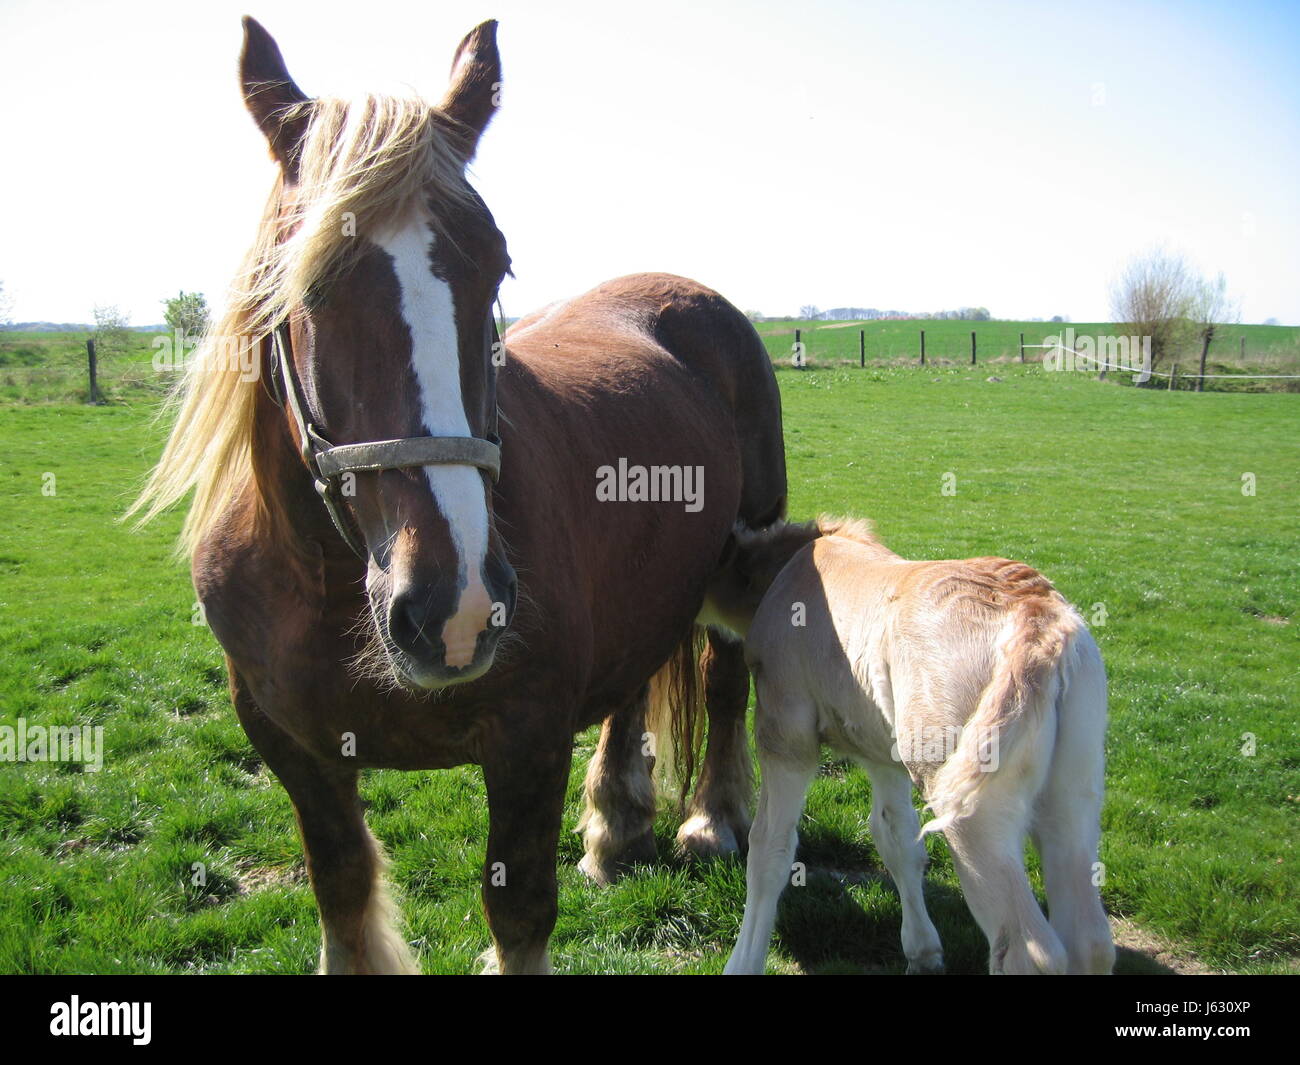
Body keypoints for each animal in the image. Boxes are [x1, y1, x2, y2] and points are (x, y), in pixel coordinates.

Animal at [130, 17, 786, 974]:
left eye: (497, 265)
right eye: (306, 280)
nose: (456, 605)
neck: (327, 582)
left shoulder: (528, 740)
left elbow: (518, 911)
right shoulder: (290, 746)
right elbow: (342, 893)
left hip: (747, 547)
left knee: (725, 676)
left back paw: (712, 819)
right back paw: (617, 822)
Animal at [707, 518, 1115, 975]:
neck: (781, 574)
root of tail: (1036, 620)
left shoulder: (786, 734)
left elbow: (769, 849)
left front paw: (742, 962)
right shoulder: (883, 754)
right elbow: (897, 839)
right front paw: (923, 953)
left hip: (971, 809)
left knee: (1029, 949)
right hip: (1074, 791)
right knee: (1090, 938)